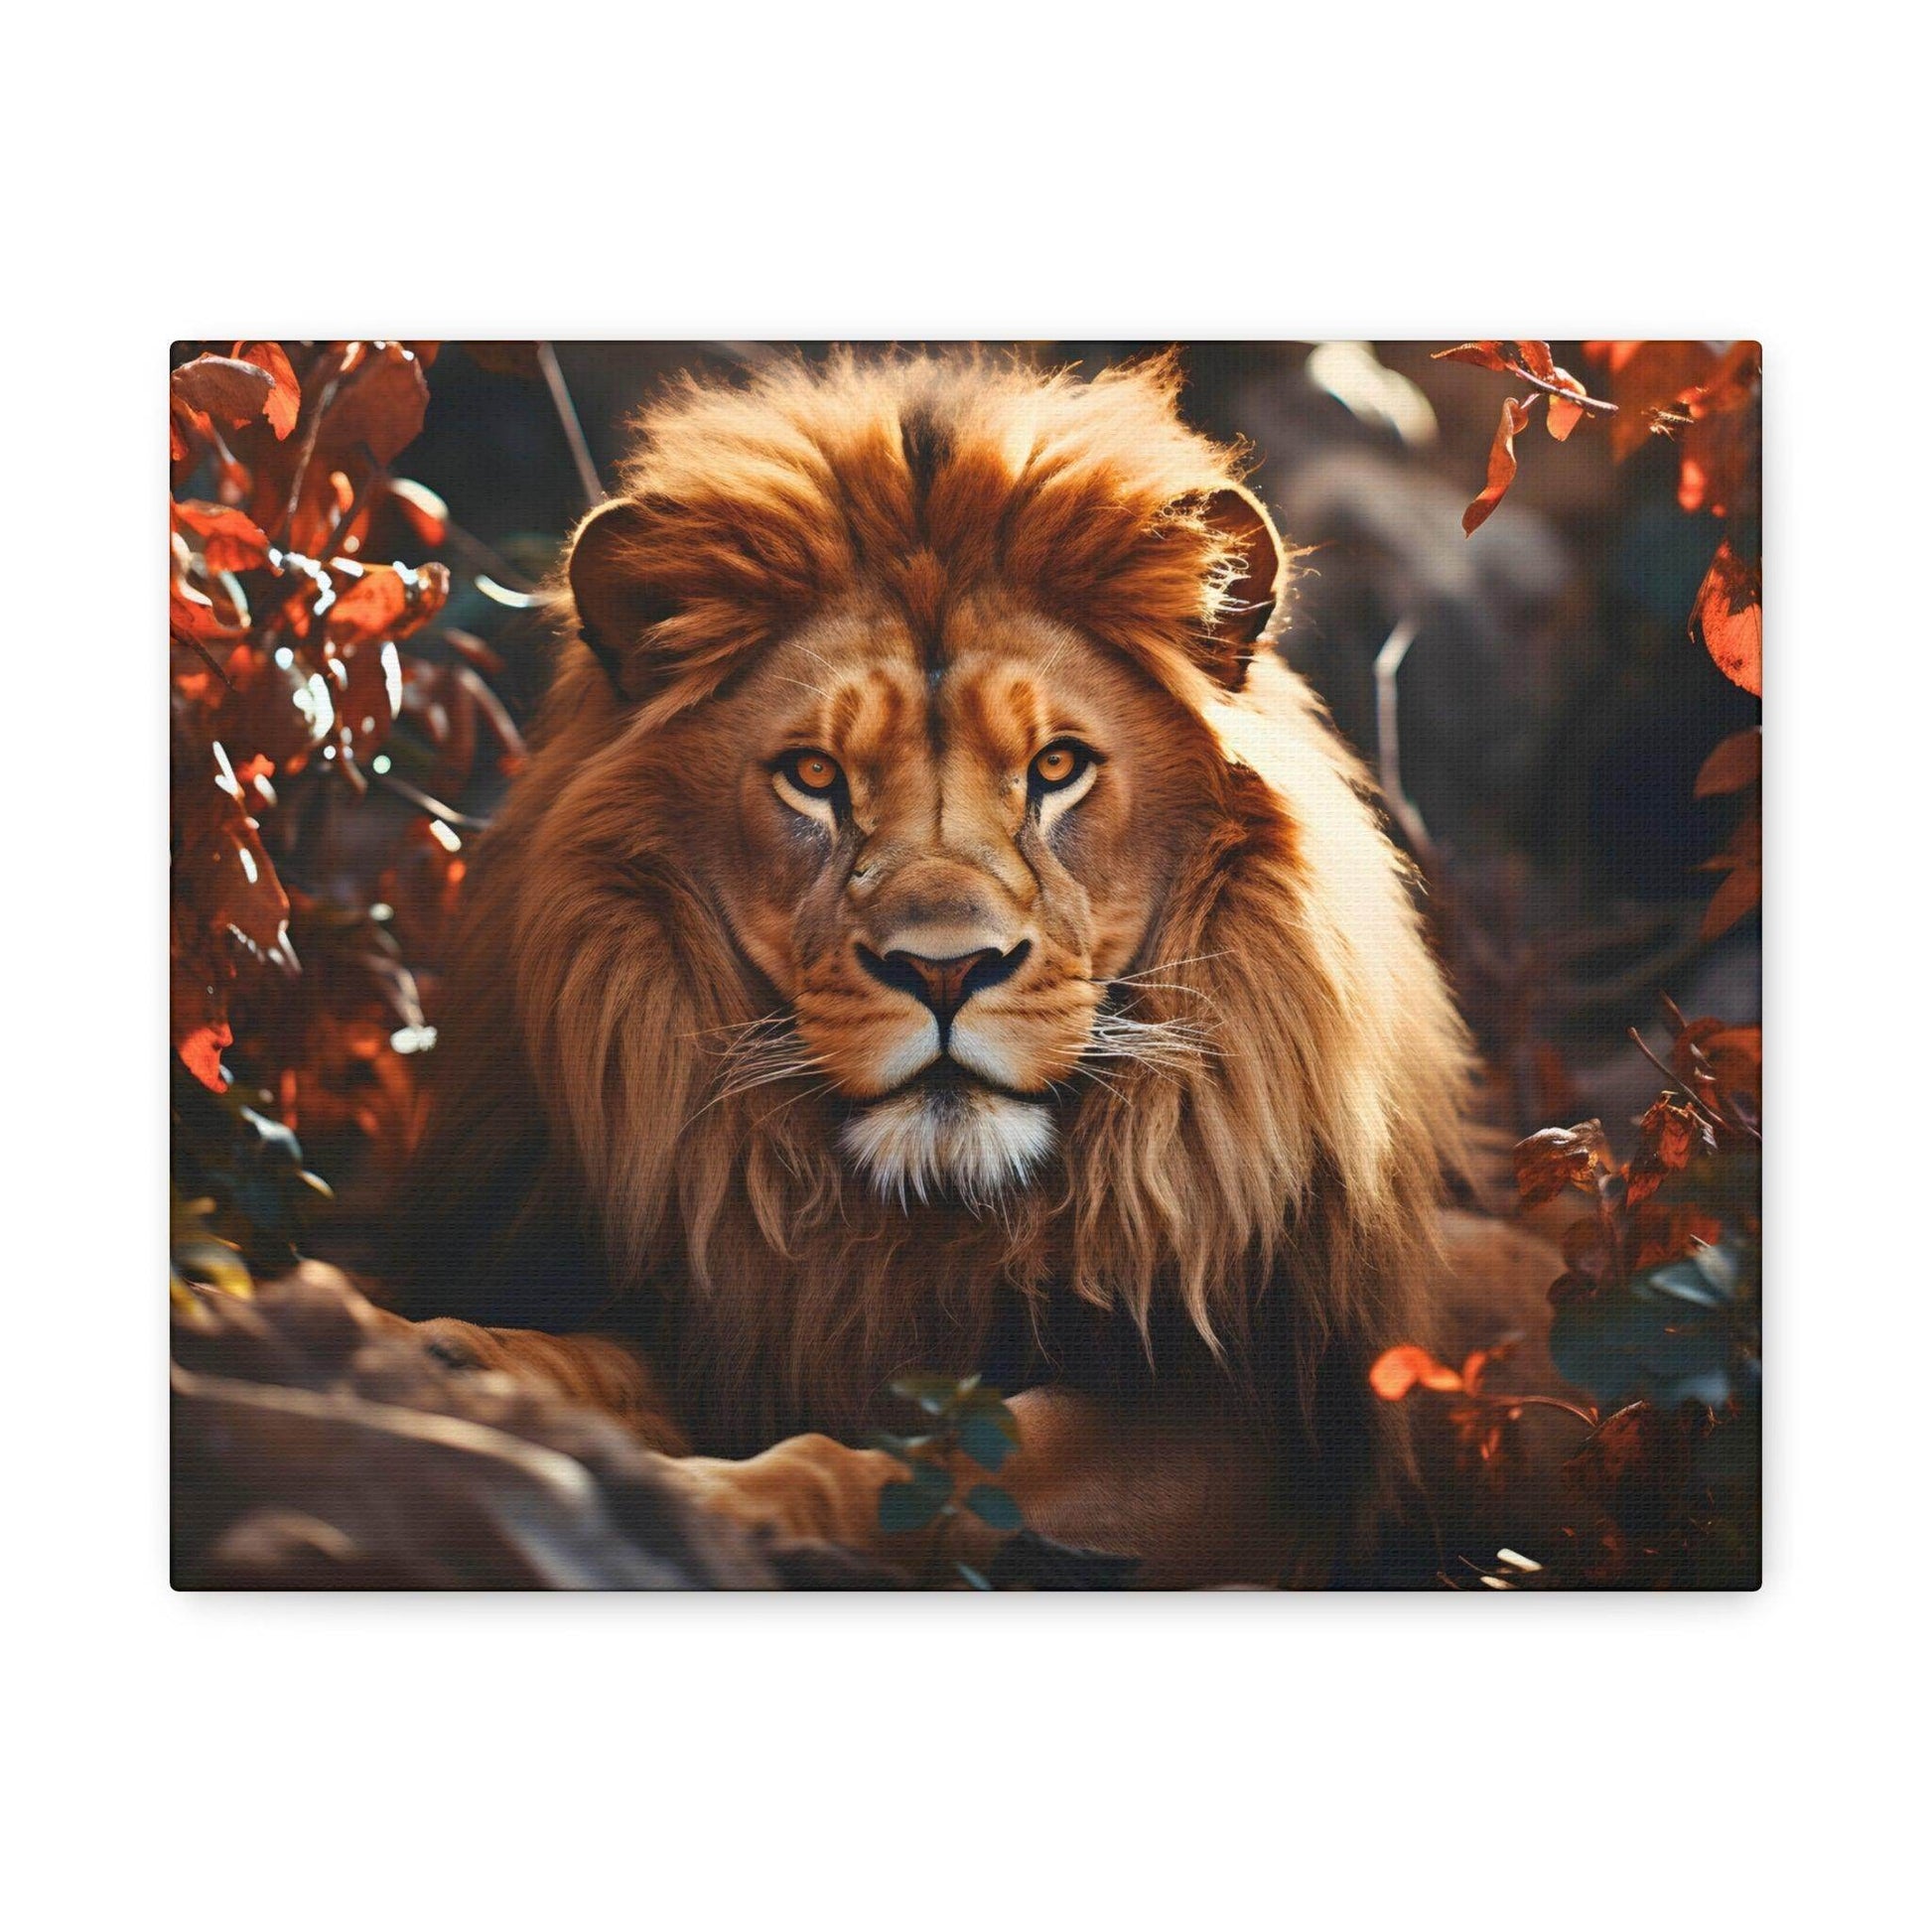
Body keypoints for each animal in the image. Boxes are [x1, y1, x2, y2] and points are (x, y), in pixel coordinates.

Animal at [387, 349, 1484, 1586]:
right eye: (814, 775)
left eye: (1055, 767)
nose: (946, 972)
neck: (926, 1222)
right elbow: (586, 1358)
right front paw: (427, 1355)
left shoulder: (1254, 1439)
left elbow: (950, 1461)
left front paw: (726, 1503)